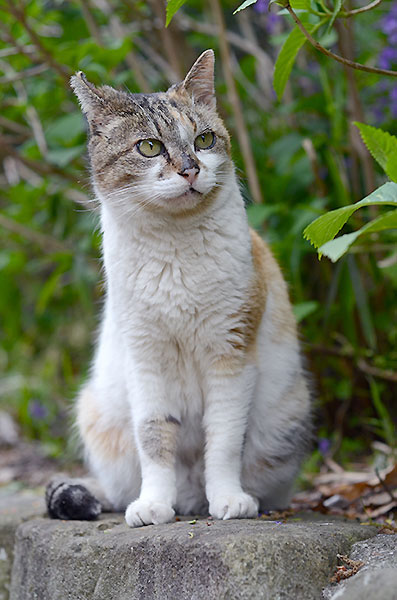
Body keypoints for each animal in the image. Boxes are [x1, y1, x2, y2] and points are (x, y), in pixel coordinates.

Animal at [45, 52, 310, 528]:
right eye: (149, 147)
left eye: (204, 140)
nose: (191, 169)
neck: (175, 249)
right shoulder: (146, 358)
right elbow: (154, 438)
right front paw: (153, 505)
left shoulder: (230, 353)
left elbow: (222, 438)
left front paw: (229, 500)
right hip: (98, 413)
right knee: (119, 488)